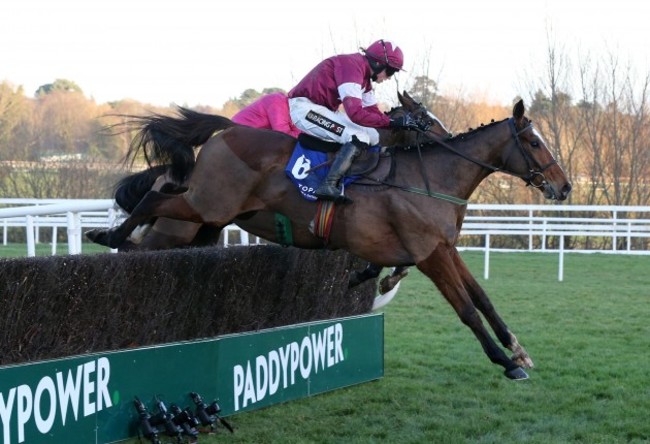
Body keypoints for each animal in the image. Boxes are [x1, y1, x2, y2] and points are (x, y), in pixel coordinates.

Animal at [87, 99, 572, 378]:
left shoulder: (443, 248)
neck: (430, 178)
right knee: (151, 205)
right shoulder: (427, 254)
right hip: (205, 208)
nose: (564, 187)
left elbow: (483, 299)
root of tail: (225, 134)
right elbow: (467, 310)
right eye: (533, 142)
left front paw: (518, 350)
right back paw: (110, 234)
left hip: (206, 221)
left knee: (157, 215)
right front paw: (506, 364)